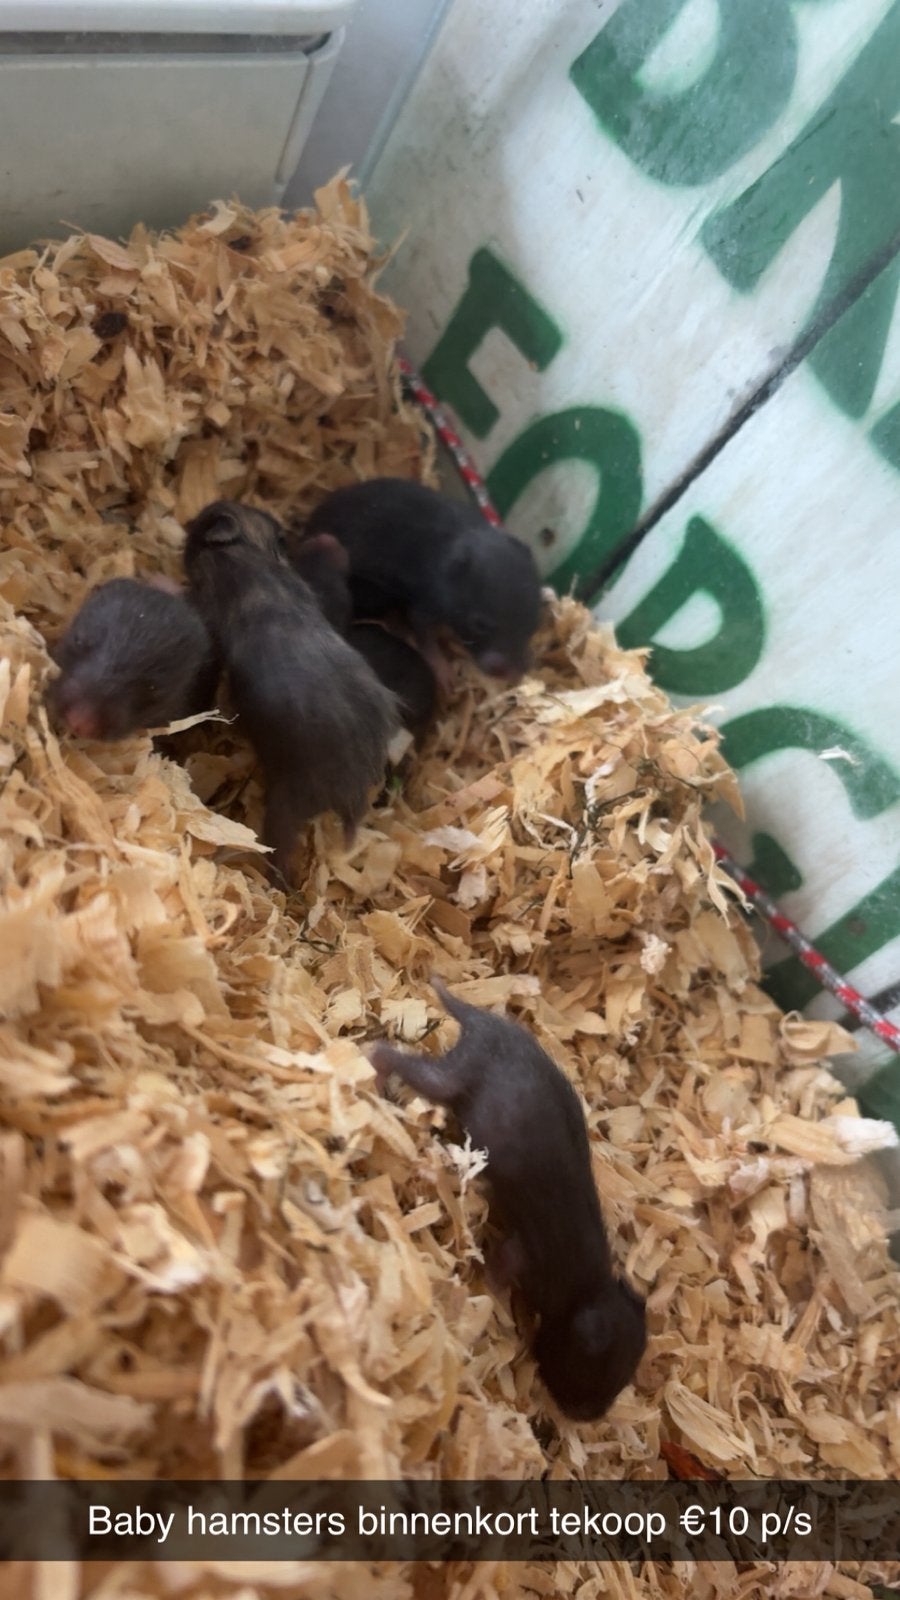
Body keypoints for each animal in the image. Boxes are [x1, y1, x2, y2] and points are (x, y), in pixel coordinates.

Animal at [304, 478, 543, 681]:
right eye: (479, 624)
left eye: (534, 623)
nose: (513, 674)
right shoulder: (428, 601)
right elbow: (423, 632)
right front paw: (445, 673)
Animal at [371, 981, 647, 1421]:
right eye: (583, 1372)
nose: (584, 1416)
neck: (588, 1289)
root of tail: (481, 1021)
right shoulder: (529, 1256)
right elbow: (503, 1263)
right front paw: (491, 1287)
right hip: (457, 1077)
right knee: (399, 1059)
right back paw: (375, 1072)